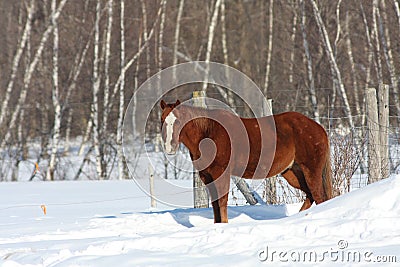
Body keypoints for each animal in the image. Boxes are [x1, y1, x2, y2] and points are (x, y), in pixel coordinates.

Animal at [159, 99, 332, 223]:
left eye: (178, 120)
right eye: (162, 120)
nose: (169, 147)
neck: (209, 133)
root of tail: (319, 128)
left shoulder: (221, 174)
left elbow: (222, 203)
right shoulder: (206, 176)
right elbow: (215, 206)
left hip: (311, 171)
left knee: (319, 197)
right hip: (292, 173)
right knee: (311, 196)